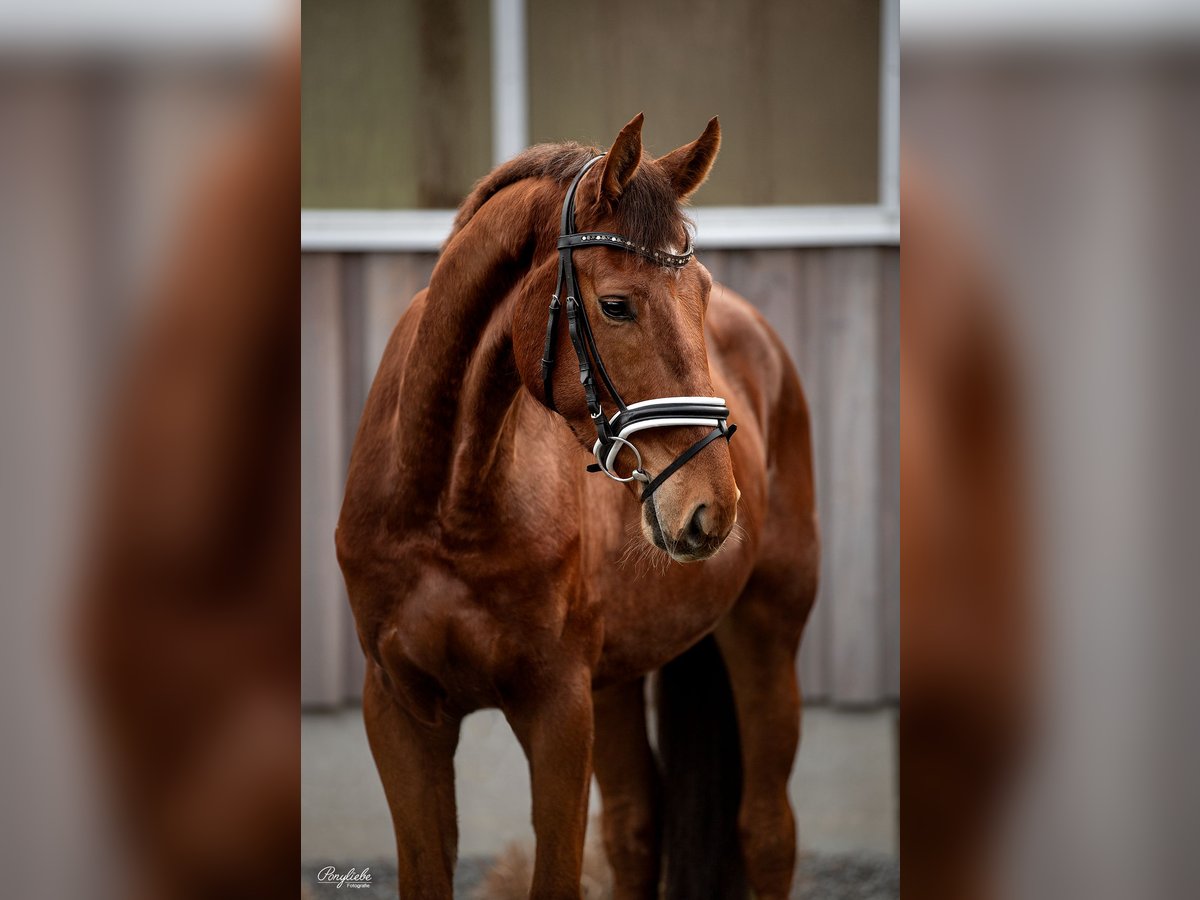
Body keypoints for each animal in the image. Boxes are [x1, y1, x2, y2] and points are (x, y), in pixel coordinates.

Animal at [343, 114, 820, 900]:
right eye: (616, 304)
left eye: (703, 292)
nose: (713, 510)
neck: (446, 502)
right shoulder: (399, 712)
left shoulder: (557, 710)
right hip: (617, 676)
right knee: (634, 827)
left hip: (766, 629)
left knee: (767, 830)